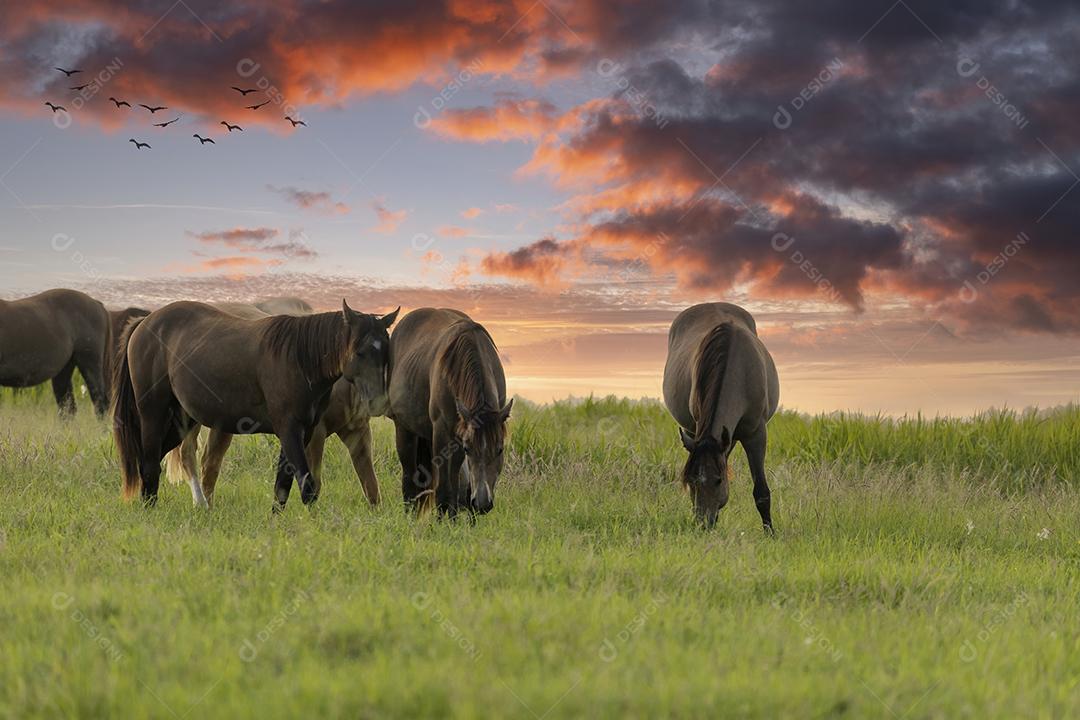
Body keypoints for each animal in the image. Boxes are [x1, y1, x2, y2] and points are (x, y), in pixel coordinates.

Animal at [111, 302, 399, 509]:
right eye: (359, 351)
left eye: (387, 351)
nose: (378, 401)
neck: (298, 359)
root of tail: (146, 322)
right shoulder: (293, 431)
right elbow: (308, 486)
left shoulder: (305, 432)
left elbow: (283, 485)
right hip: (154, 414)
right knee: (152, 463)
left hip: (183, 419)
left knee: (160, 461)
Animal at [388, 306, 509, 515]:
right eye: (470, 449)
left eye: (500, 449)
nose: (482, 503)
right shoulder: (443, 433)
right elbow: (443, 490)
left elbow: (453, 486)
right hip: (405, 431)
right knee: (410, 481)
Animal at [660, 302, 781, 533]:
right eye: (691, 481)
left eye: (718, 480)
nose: (704, 524)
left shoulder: (756, 434)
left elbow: (761, 492)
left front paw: (770, 533)